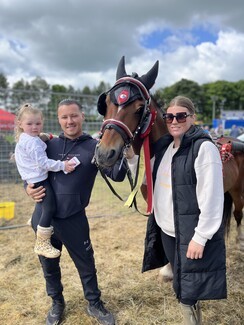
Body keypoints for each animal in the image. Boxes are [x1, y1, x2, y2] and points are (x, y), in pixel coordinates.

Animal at [94, 57, 244, 260]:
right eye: (107, 103)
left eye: (140, 109)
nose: (104, 153)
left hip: (238, 189)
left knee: (238, 213)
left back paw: (238, 241)